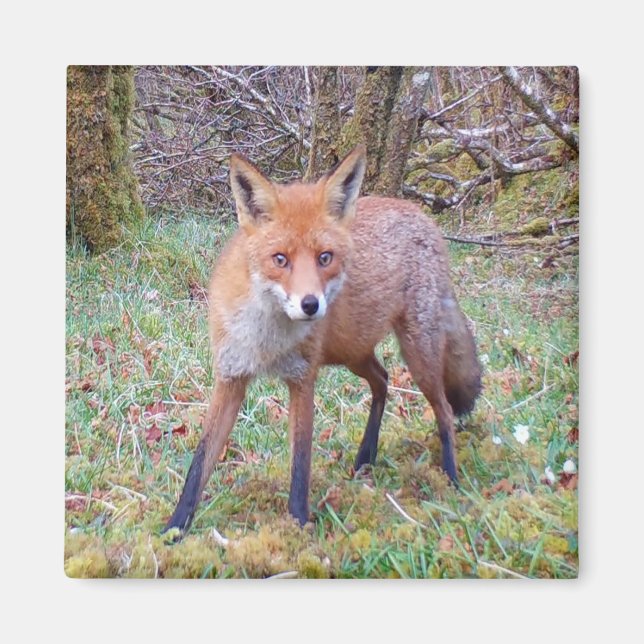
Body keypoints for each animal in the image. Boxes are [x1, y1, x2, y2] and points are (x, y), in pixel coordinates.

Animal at [164, 144, 481, 534]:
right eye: (280, 259)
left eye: (324, 258)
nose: (311, 305)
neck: (268, 339)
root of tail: (422, 216)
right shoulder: (230, 376)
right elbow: (200, 460)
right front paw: (174, 529)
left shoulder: (302, 378)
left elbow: (301, 461)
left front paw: (299, 526)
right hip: (353, 353)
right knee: (383, 381)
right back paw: (366, 457)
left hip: (416, 354)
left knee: (445, 411)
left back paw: (451, 477)